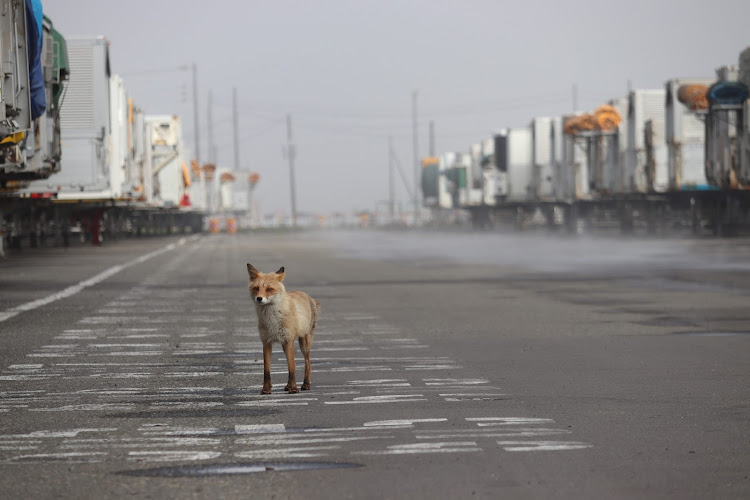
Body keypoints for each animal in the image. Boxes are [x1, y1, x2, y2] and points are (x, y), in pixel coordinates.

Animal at [245, 264, 318, 396]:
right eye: (256, 288)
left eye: (269, 289)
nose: (259, 298)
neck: (272, 320)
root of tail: (308, 296)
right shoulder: (266, 342)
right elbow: (267, 370)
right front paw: (266, 389)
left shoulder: (288, 341)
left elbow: (292, 367)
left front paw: (293, 388)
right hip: (285, 346)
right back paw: (287, 385)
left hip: (304, 344)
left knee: (308, 363)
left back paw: (305, 384)